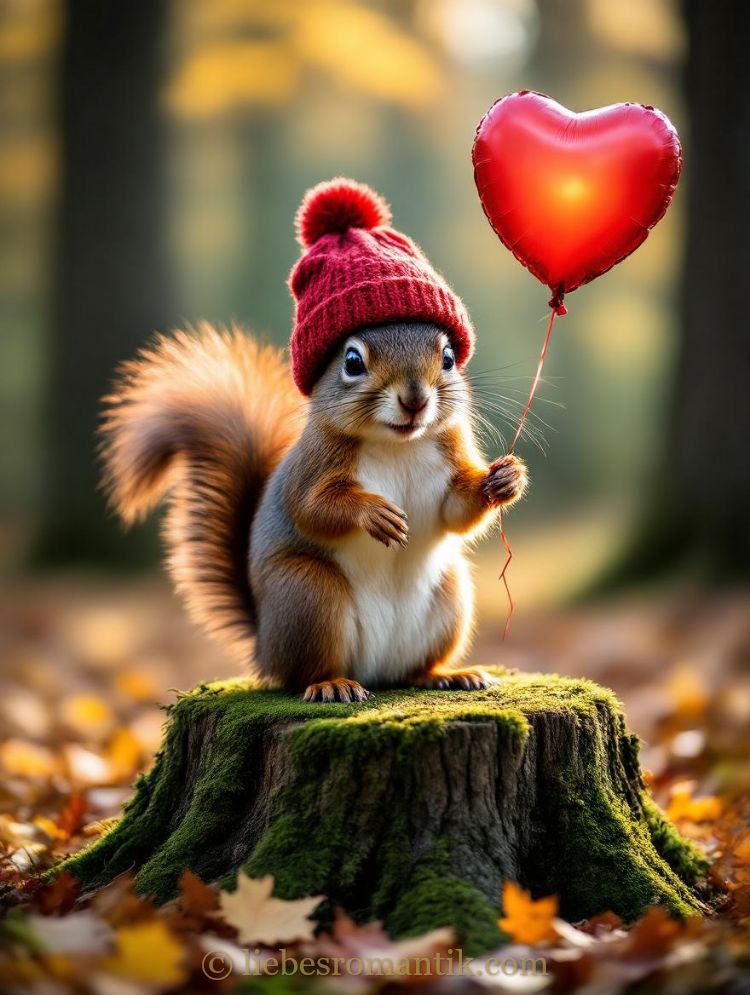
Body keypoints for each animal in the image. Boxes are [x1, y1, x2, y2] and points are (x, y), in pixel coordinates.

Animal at [100, 178, 528, 703]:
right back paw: (331, 684)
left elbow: (456, 509)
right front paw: (373, 512)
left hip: (449, 596)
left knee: (413, 668)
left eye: (448, 357)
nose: (415, 399)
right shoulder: (313, 463)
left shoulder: (448, 457)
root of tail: (264, 645)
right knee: (303, 671)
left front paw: (504, 479)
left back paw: (447, 674)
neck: (398, 444)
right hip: (309, 595)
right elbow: (312, 507)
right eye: (352, 361)